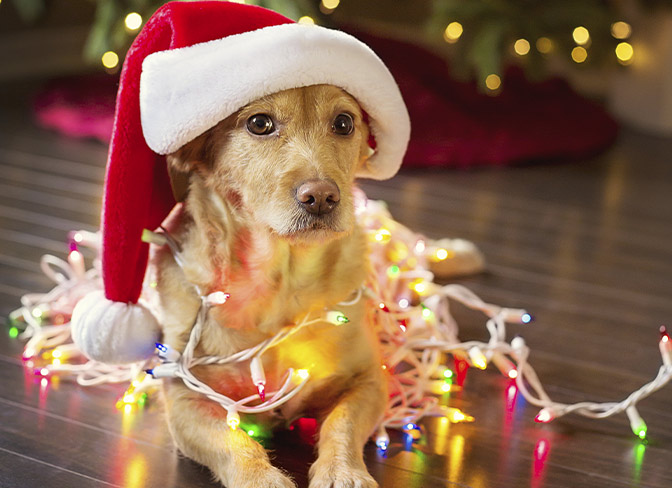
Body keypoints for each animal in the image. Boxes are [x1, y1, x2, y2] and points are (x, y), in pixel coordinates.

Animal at [152, 85, 384, 488]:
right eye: (259, 124)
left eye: (344, 123)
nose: (321, 196)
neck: (281, 286)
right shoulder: (183, 398)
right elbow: (234, 442)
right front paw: (261, 479)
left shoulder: (369, 378)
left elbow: (342, 423)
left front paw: (343, 471)